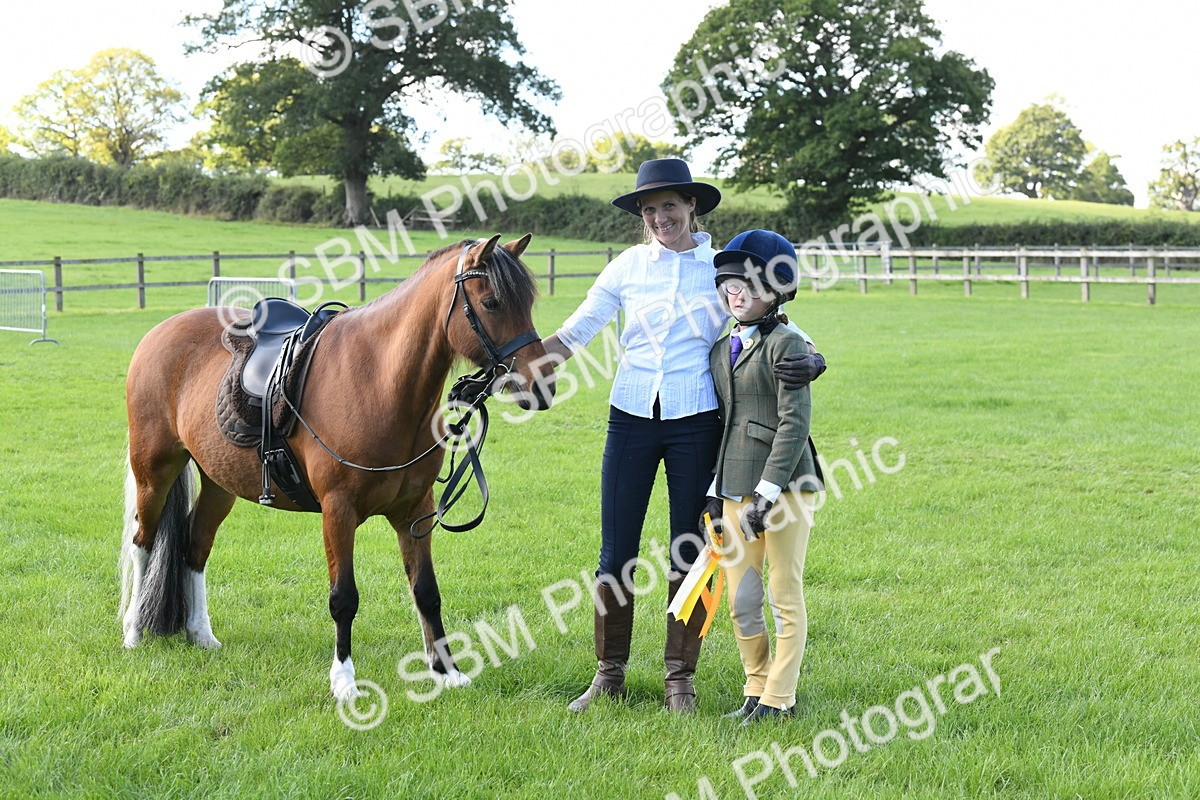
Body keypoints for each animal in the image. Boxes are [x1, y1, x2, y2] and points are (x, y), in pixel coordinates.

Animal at [119, 234, 556, 699]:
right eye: (491, 303)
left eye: (527, 303)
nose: (542, 384)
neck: (380, 382)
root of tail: (159, 332)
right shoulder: (338, 511)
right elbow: (343, 598)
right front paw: (344, 680)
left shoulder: (415, 511)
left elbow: (426, 591)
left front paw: (446, 671)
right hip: (153, 471)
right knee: (143, 542)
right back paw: (133, 631)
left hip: (219, 484)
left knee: (196, 546)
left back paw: (201, 633)